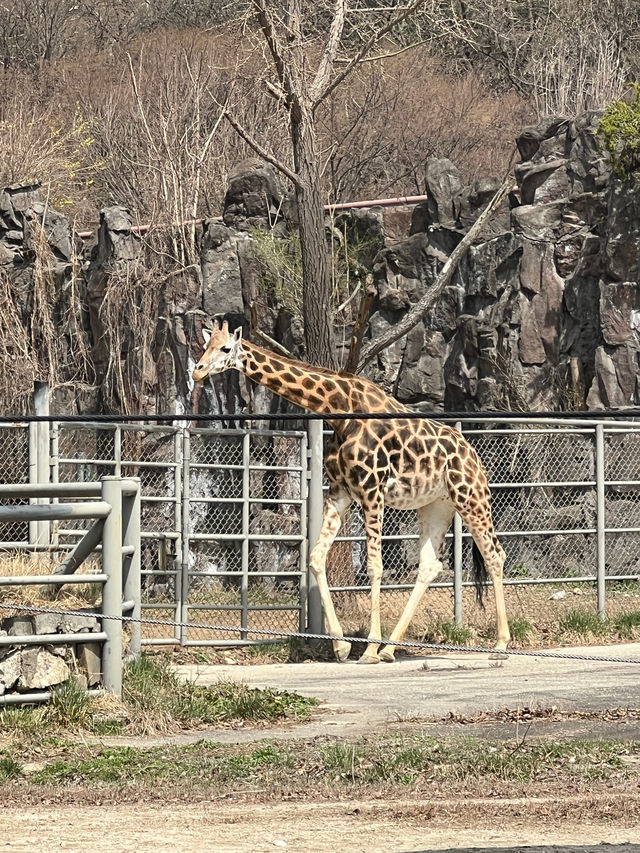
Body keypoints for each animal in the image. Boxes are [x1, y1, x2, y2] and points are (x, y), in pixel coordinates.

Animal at [191, 322, 510, 664]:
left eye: (225, 348)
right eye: (206, 345)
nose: (197, 372)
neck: (339, 409)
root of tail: (474, 456)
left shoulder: (372, 490)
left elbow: (373, 566)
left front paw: (368, 648)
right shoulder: (339, 491)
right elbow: (316, 558)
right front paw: (341, 645)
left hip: (471, 497)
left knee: (495, 554)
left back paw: (500, 644)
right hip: (436, 505)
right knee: (430, 565)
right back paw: (390, 649)